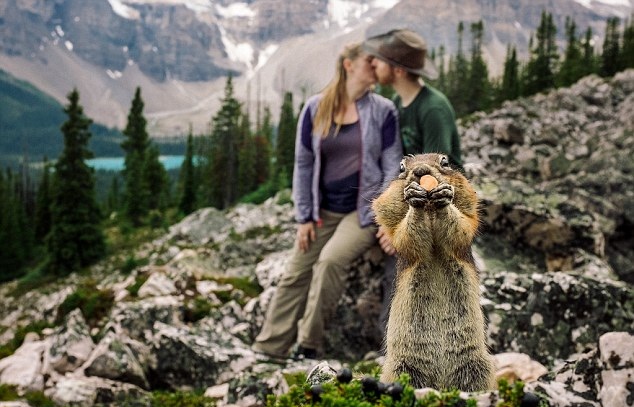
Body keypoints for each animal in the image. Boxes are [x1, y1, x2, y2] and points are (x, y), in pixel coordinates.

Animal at [370, 152, 494, 392]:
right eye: (401, 166)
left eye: (444, 161)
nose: (420, 171)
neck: (430, 212)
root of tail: (440, 384)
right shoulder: (391, 220)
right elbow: (403, 236)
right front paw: (414, 199)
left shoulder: (469, 209)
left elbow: (462, 227)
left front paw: (444, 196)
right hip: (400, 366)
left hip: (478, 366)